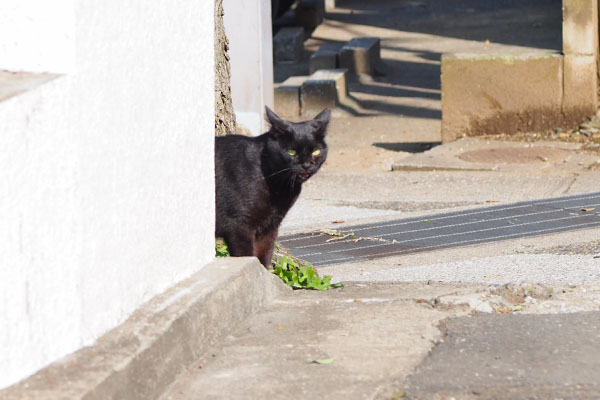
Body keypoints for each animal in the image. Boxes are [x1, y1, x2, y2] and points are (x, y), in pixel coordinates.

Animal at [214, 108, 330, 268]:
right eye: (291, 151)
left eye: (316, 151)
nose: (307, 164)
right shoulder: (239, 226)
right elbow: (247, 256)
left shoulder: (270, 227)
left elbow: (263, 257)